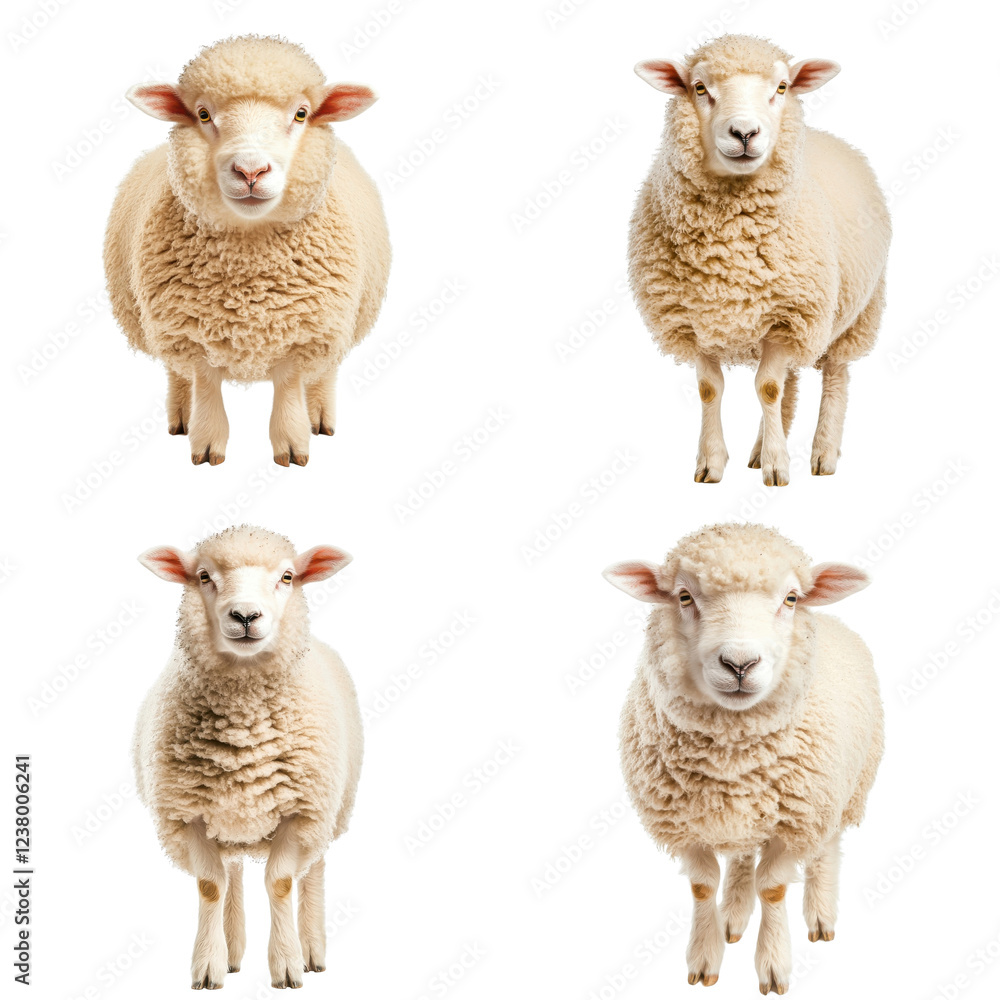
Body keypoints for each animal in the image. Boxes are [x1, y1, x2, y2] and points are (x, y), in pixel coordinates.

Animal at [104, 35, 391, 467]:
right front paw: (207, 443)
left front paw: (293, 444)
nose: (250, 171)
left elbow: (289, 387)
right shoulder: (187, 331)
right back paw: (181, 415)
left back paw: (320, 416)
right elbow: (205, 384)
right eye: (203, 114)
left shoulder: (305, 330)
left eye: (301, 114)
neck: (248, 264)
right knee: (176, 373)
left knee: (325, 371)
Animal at [133, 525, 362, 990]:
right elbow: (210, 885)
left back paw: (312, 949)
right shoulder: (189, 814)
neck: (243, 724)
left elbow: (281, 883)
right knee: (232, 871)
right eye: (203, 576)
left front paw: (288, 965)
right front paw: (209, 966)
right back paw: (233, 951)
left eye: (288, 577)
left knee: (313, 870)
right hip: (230, 819)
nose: (245, 616)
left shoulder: (301, 812)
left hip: (330, 808)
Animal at [603, 523, 883, 994]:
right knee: (740, 855)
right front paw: (704, 958)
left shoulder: (794, 820)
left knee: (826, 846)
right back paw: (733, 915)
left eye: (791, 598)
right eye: (684, 596)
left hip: (842, 787)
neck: (731, 759)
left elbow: (772, 889)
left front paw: (773, 965)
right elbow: (702, 887)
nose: (739, 664)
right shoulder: (687, 824)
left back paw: (820, 914)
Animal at [628, 35, 891, 485]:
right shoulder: (693, 318)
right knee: (790, 382)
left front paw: (778, 466)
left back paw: (822, 454)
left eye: (782, 87)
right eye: (699, 87)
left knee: (834, 376)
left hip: (855, 312)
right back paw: (760, 448)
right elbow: (712, 389)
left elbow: (767, 387)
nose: (745, 132)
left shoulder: (788, 314)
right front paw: (712, 463)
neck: (726, 252)